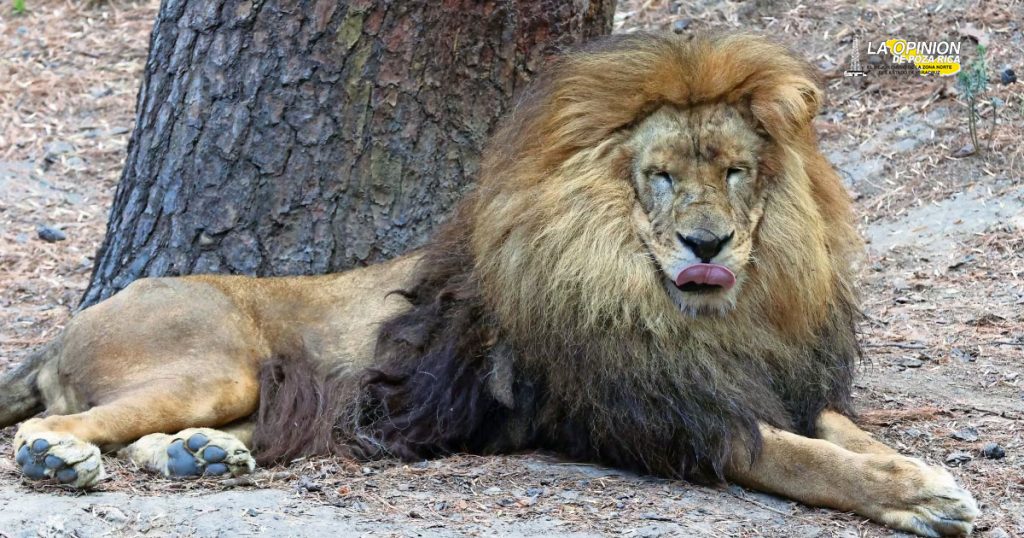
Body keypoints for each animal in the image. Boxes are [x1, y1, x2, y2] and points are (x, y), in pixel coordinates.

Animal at [0, 34, 976, 536]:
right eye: (659, 177)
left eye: (737, 171)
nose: (709, 242)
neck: (706, 317)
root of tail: (64, 327)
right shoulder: (654, 415)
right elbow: (801, 457)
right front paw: (920, 499)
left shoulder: (770, 381)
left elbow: (847, 432)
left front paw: (923, 471)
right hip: (216, 361)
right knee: (56, 425)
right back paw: (61, 459)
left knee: (155, 439)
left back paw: (201, 457)